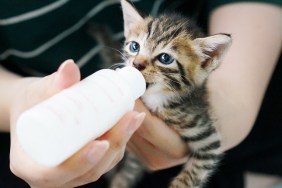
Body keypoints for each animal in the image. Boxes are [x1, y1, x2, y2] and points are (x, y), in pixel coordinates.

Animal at [111, 0, 232, 187]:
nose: (136, 64)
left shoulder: (208, 140)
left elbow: (191, 175)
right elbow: (128, 171)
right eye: (134, 46)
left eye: (165, 58)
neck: (158, 99)